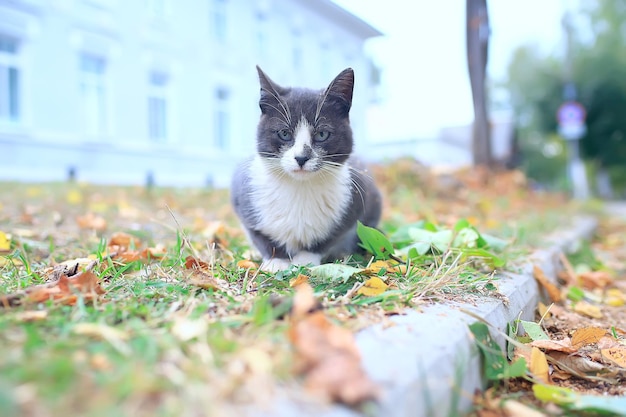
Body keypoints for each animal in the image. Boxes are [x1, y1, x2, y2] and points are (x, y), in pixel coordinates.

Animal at [230, 66, 380, 272]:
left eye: (322, 134)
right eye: (284, 133)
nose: (301, 158)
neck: (299, 188)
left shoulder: (354, 202)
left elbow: (327, 239)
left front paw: (304, 260)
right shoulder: (242, 199)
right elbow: (260, 236)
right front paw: (277, 261)